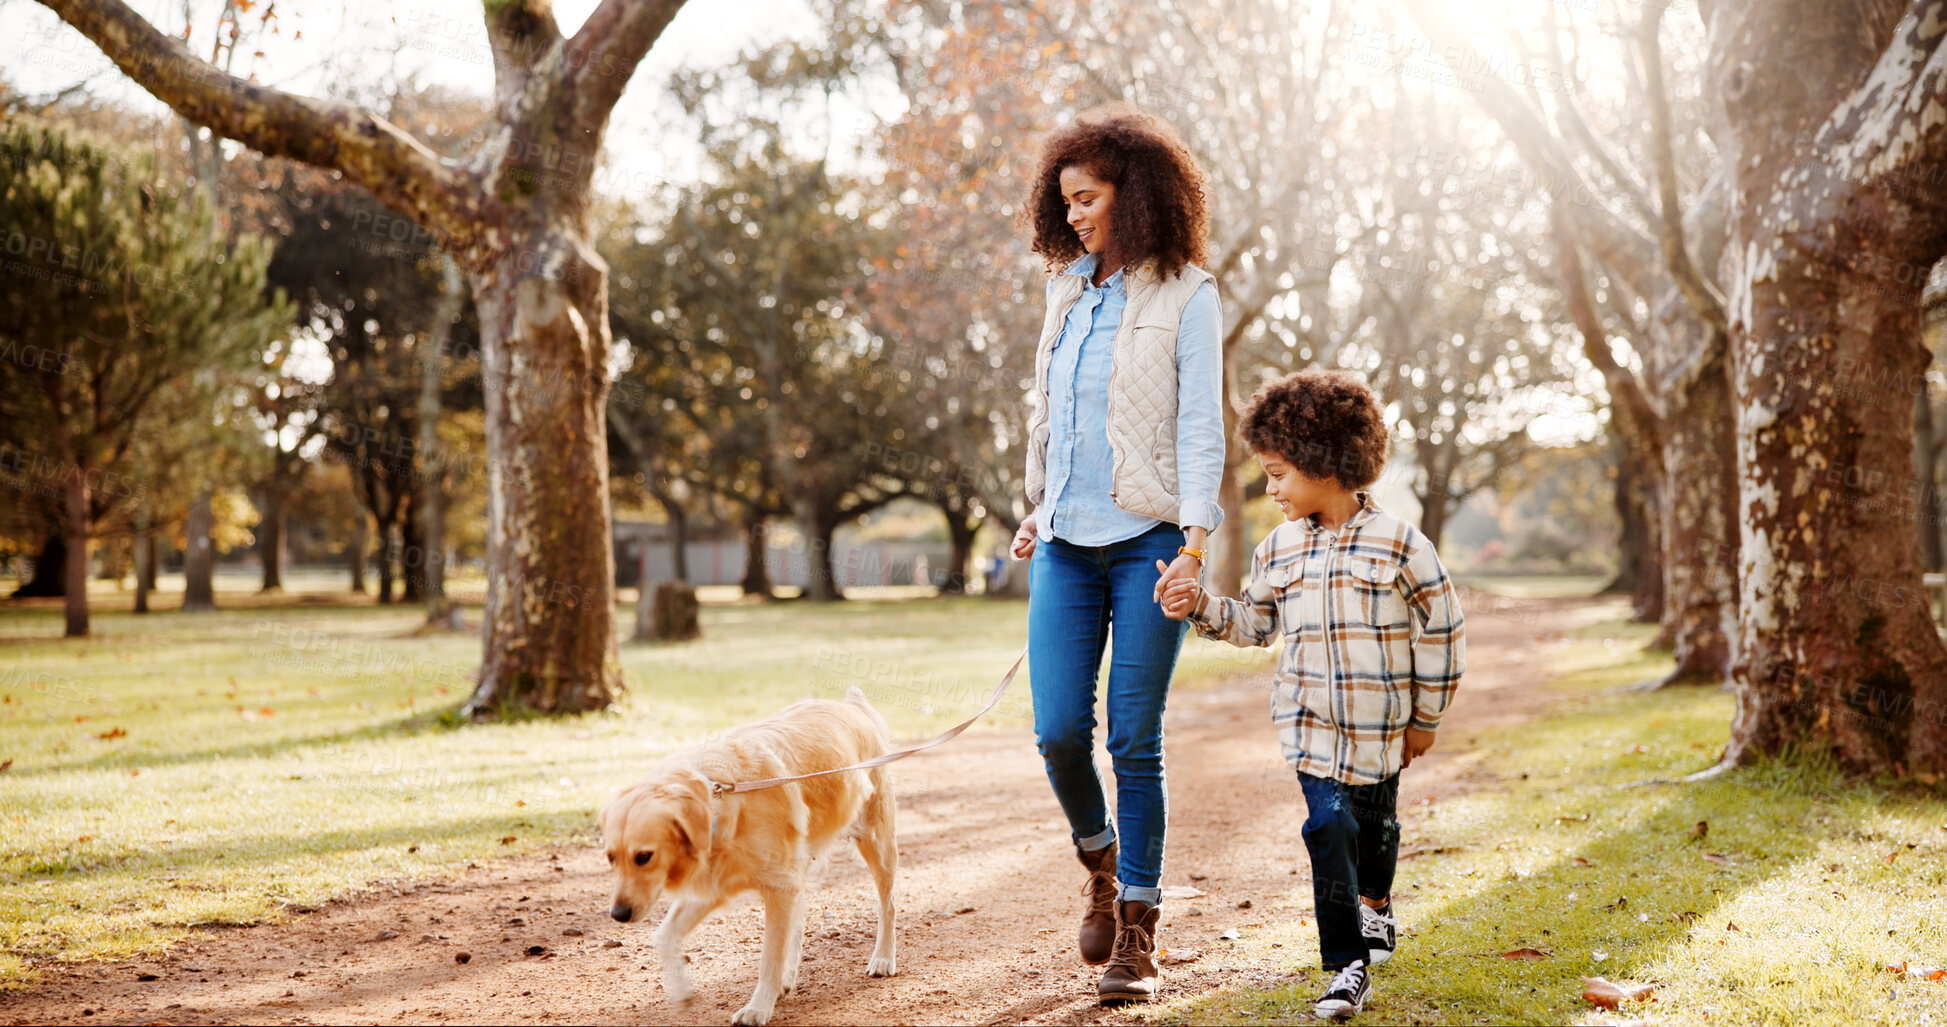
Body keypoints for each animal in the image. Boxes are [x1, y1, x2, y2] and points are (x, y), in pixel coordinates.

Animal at [599, 685, 895, 1021]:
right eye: (610, 857)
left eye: (643, 857)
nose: (618, 915)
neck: (719, 798)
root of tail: (851, 705)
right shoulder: (717, 885)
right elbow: (664, 935)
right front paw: (681, 988)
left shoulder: (779, 886)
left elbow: (769, 958)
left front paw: (758, 1008)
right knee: (800, 918)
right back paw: (788, 976)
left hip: (877, 844)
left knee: (888, 904)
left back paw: (884, 958)